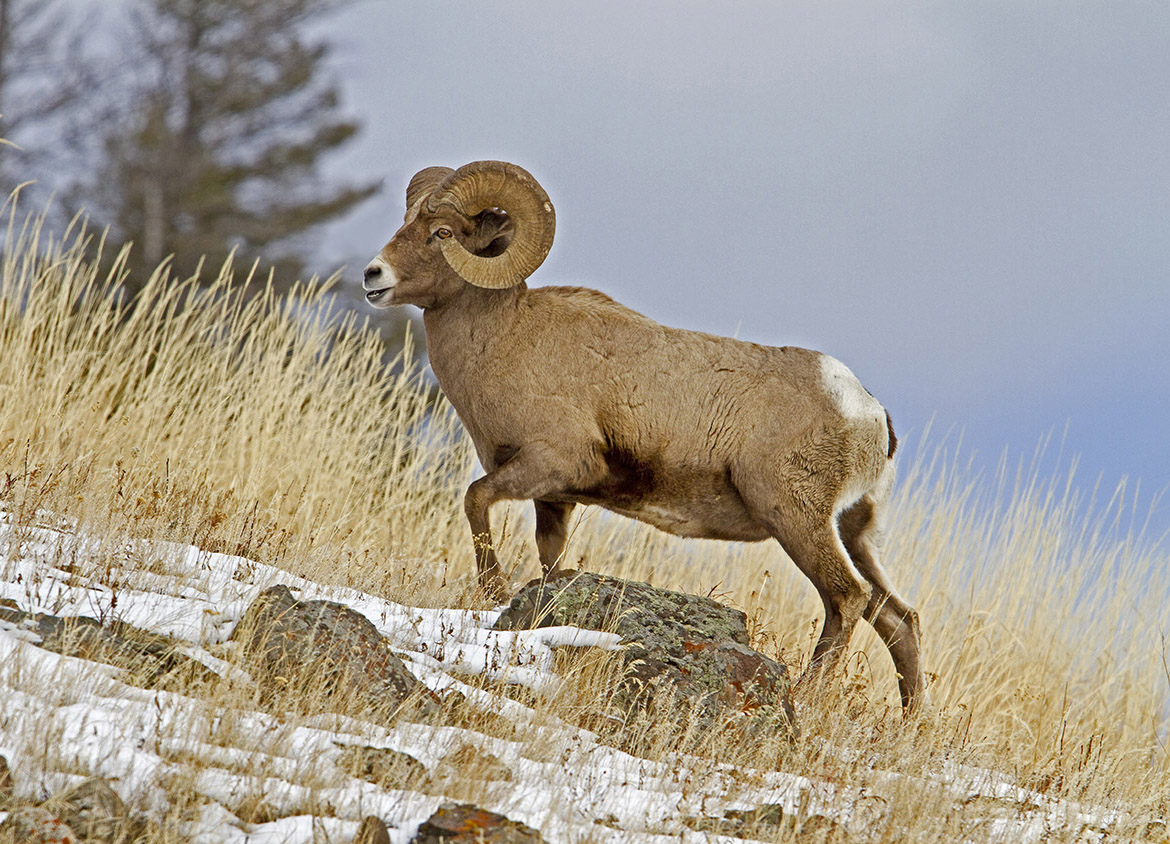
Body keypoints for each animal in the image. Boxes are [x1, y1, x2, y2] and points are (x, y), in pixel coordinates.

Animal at [363, 160, 926, 712]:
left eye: (442, 232)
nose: (374, 275)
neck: (507, 341)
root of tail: (869, 414)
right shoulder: (554, 498)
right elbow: (550, 562)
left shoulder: (549, 463)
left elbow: (475, 499)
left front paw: (492, 592)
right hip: (852, 532)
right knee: (898, 618)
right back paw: (910, 722)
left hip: (797, 520)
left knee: (847, 598)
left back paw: (806, 696)